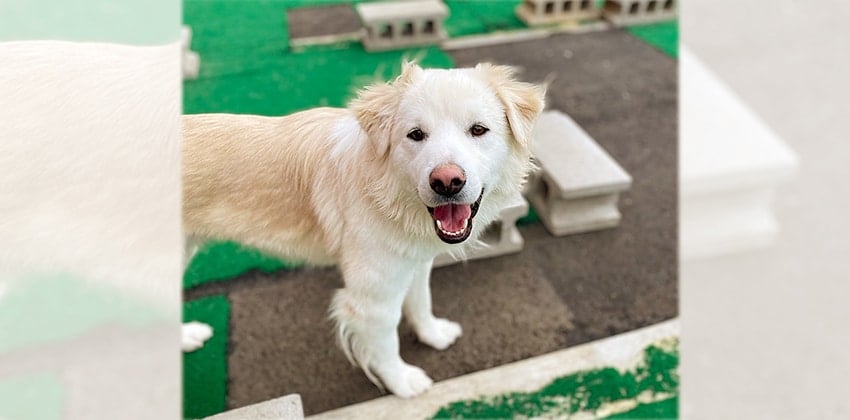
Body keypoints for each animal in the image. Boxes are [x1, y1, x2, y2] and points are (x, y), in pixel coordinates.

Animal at [182, 62, 548, 398]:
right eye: (416, 134)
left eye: (478, 130)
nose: (447, 182)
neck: (385, 193)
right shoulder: (372, 302)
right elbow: (386, 345)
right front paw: (402, 383)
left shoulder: (414, 263)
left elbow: (421, 302)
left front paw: (433, 334)